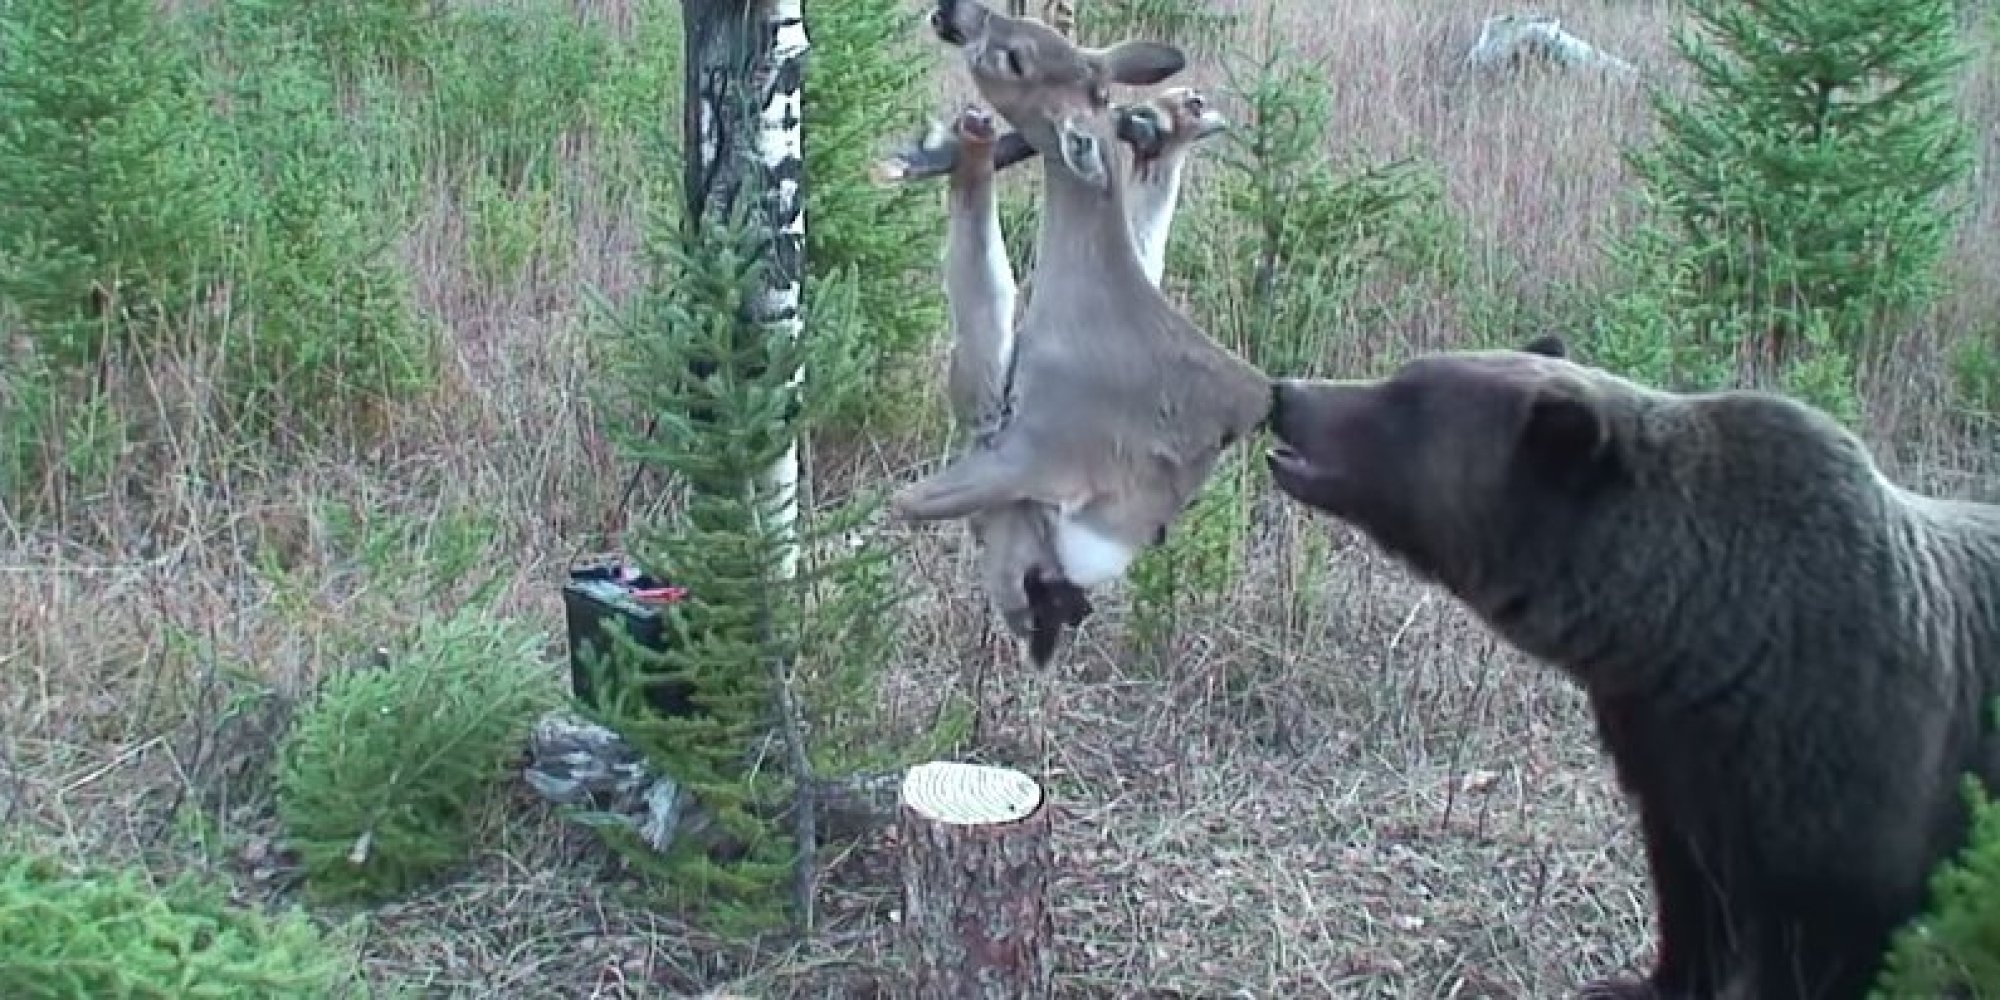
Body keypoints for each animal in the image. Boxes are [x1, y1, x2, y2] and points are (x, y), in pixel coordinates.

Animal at [1263, 334, 2000, 999]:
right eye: (1404, 375)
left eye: (1406, 397)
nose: (1286, 393)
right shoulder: (1672, 757)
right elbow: (1691, 893)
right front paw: (1641, 983)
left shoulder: (1852, 774)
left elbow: (1831, 939)